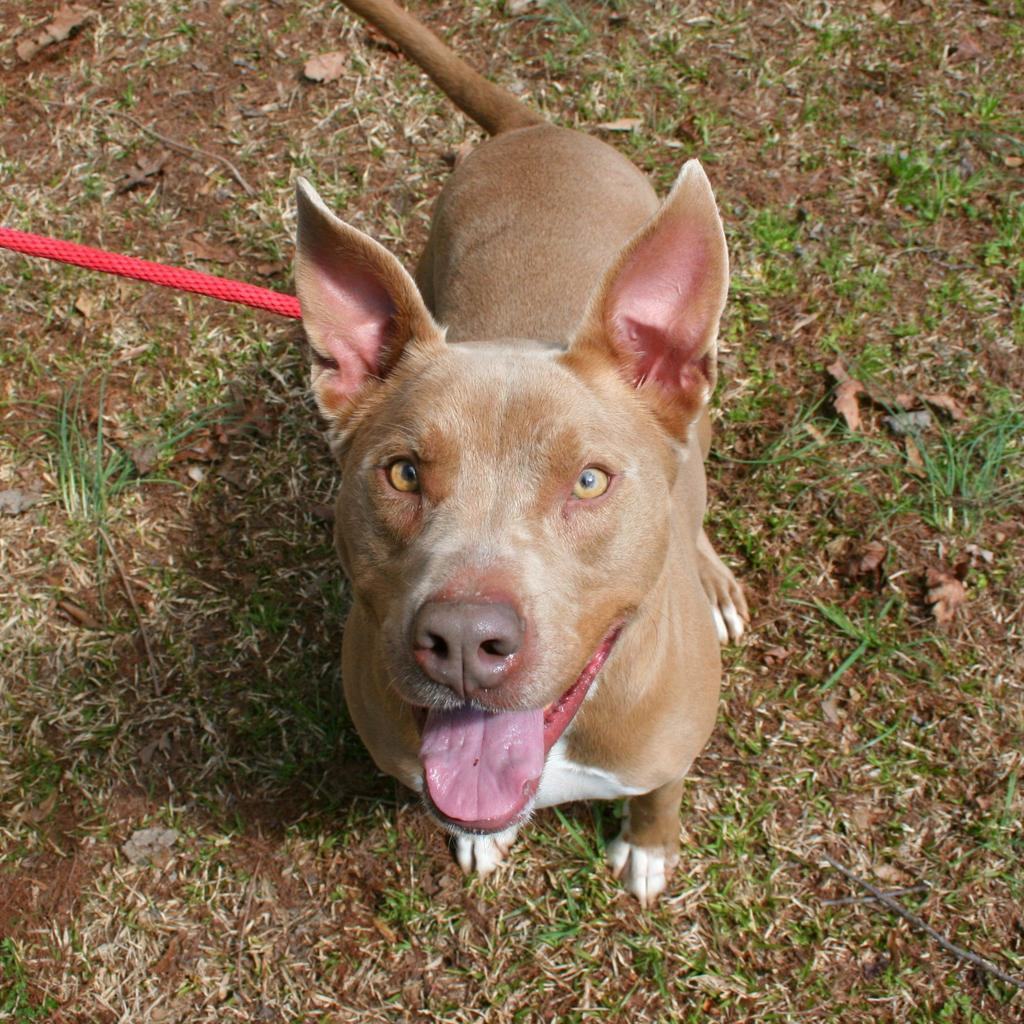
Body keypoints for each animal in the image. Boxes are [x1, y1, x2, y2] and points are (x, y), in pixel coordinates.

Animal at [292, 0, 749, 901]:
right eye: (402, 472)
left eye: (590, 481)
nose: (466, 640)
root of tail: (535, 128)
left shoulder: (667, 748)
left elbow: (661, 794)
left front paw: (650, 847)